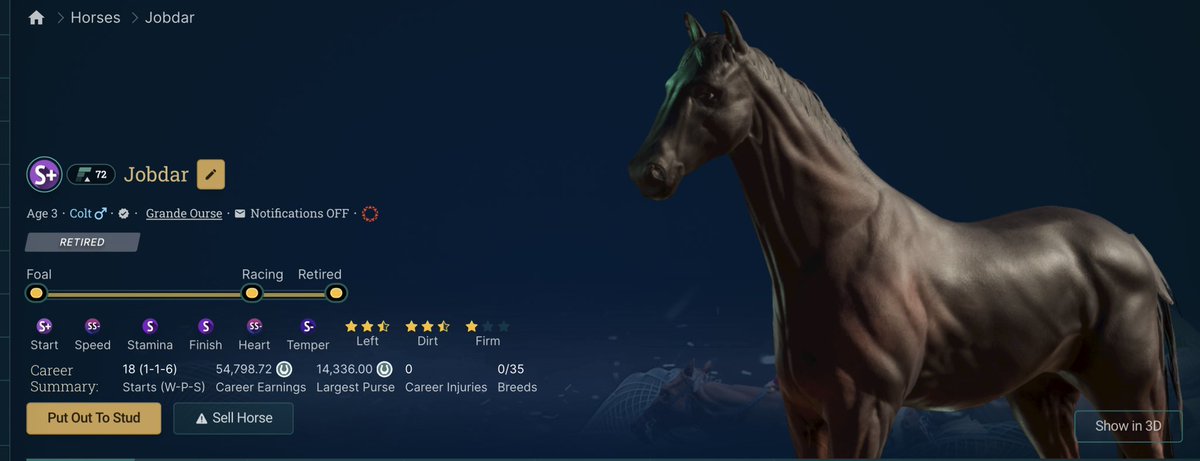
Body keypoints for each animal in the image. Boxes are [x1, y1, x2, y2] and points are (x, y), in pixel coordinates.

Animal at [627, 11, 1179, 458]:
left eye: (709, 93)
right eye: (669, 85)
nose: (647, 172)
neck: (836, 242)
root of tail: (1133, 246)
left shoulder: (864, 412)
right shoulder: (805, 418)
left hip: (1131, 397)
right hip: (1041, 396)